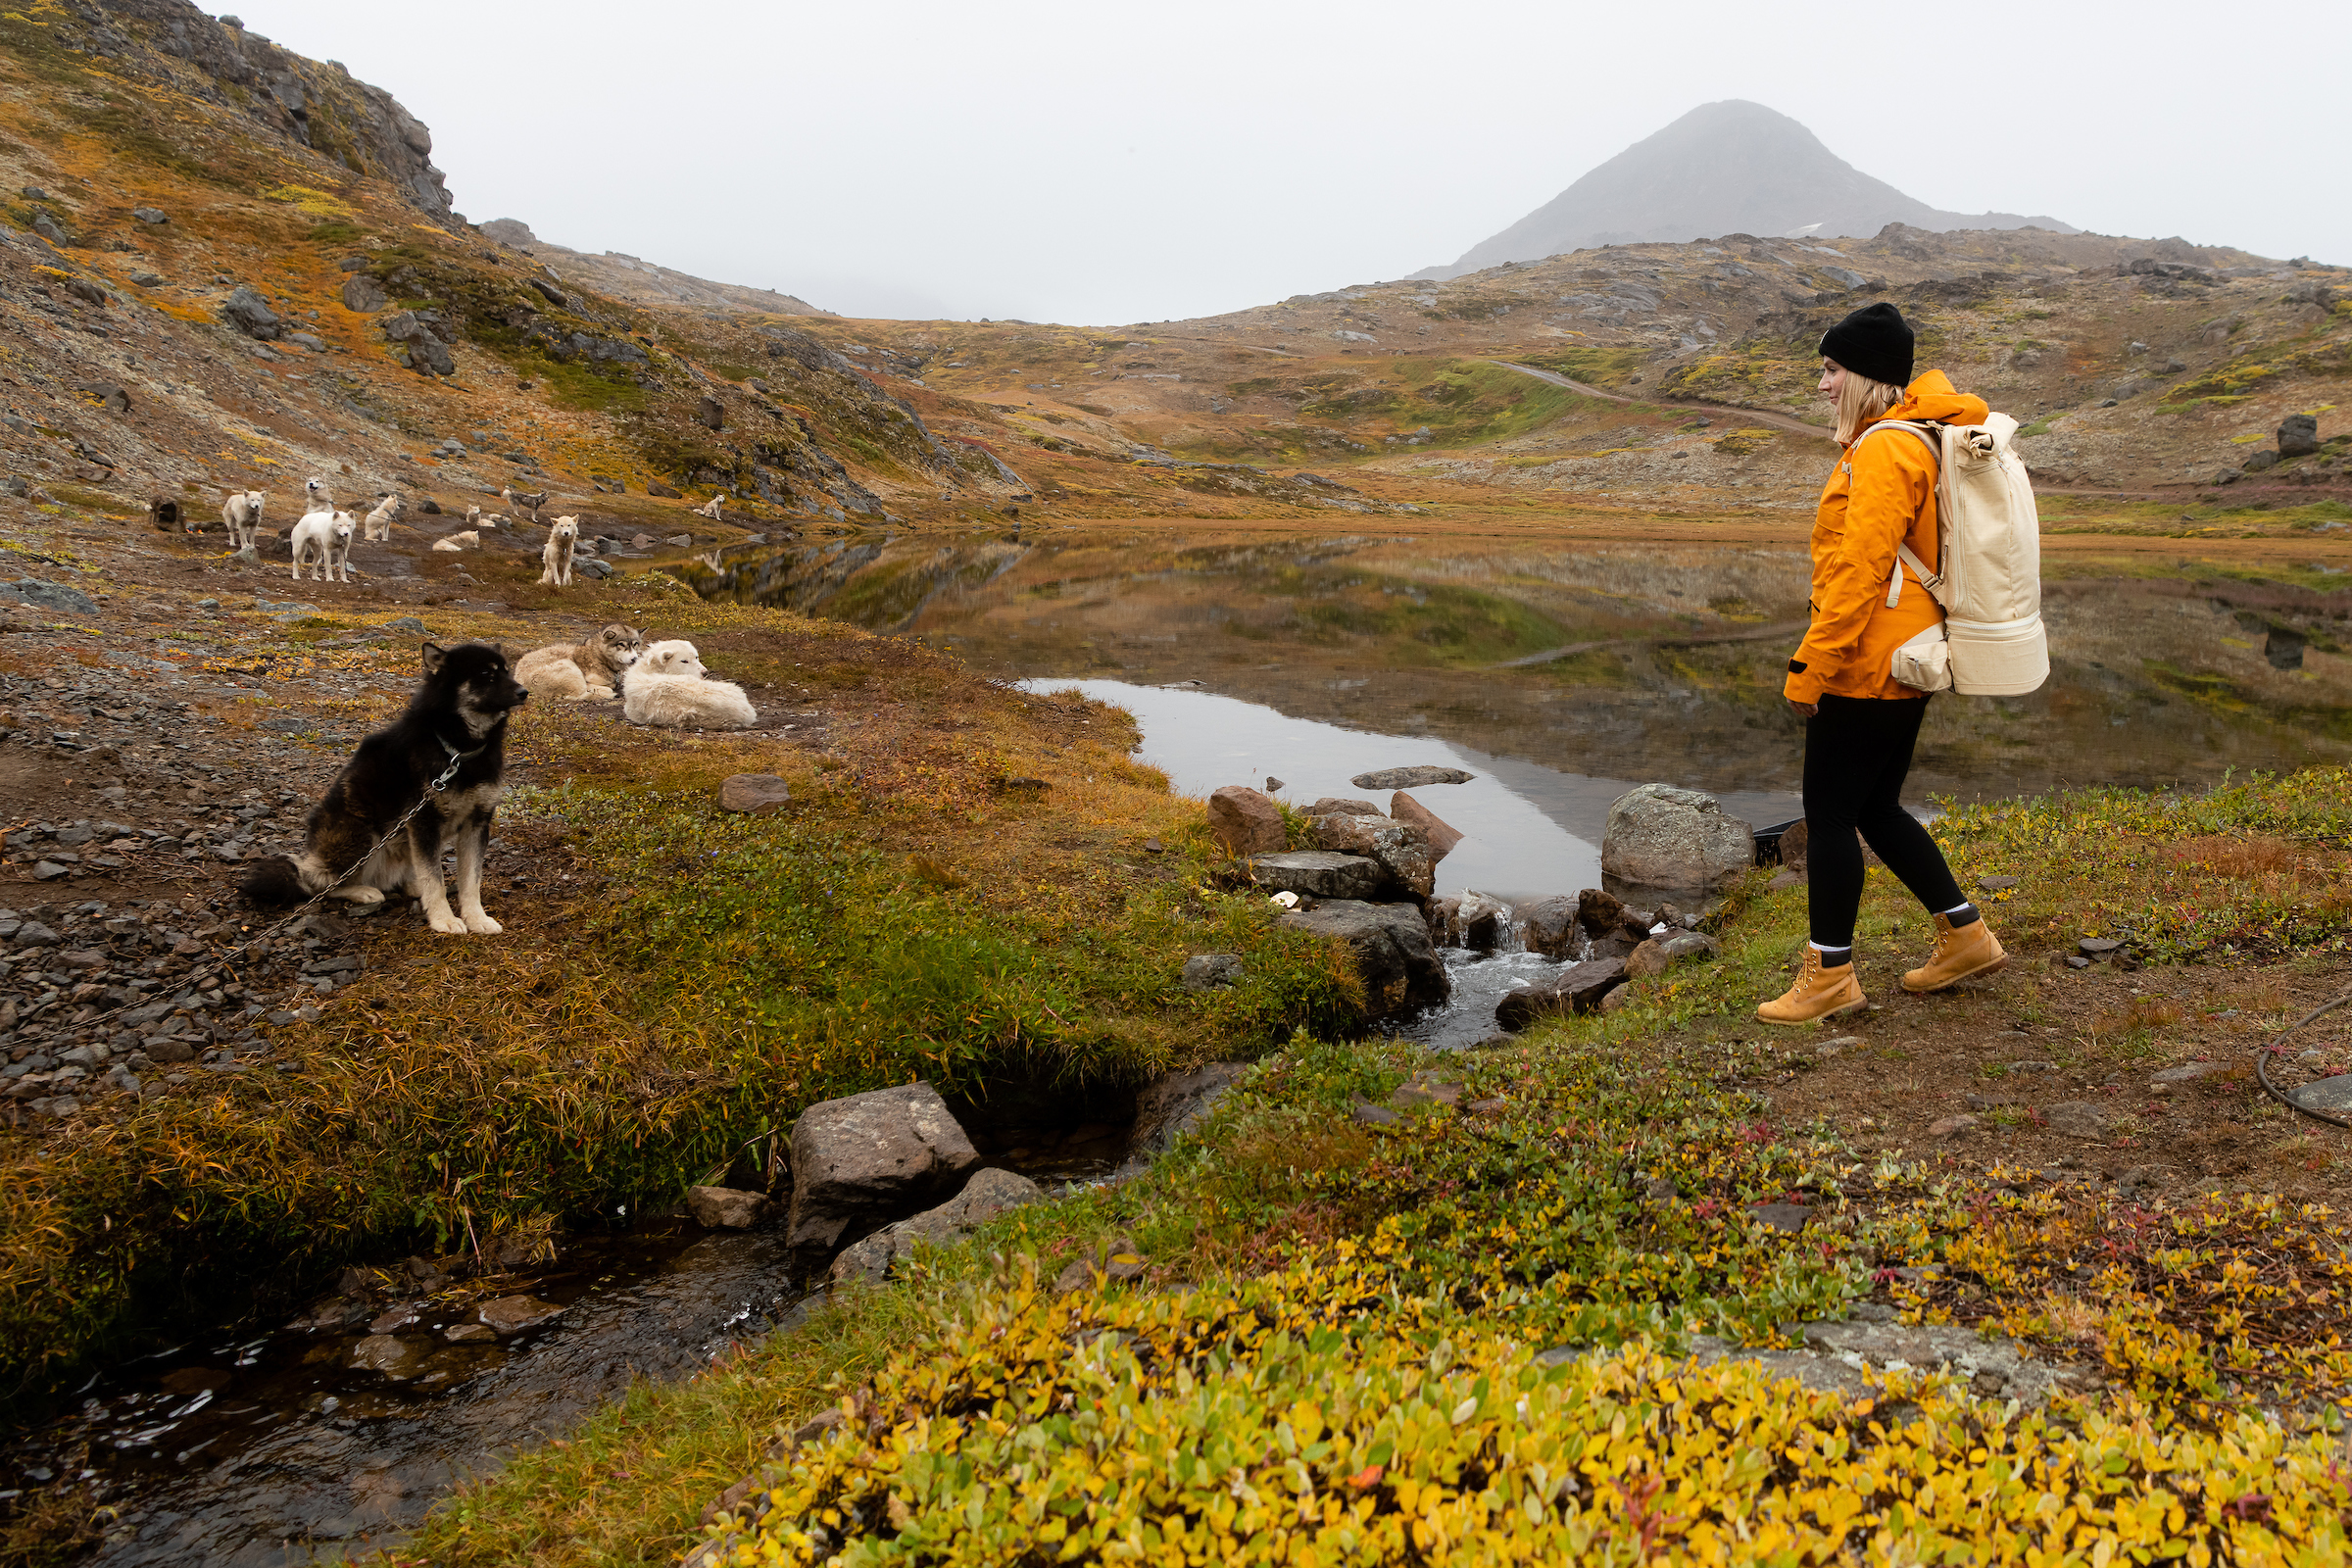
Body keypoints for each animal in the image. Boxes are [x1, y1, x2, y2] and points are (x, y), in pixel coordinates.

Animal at [243, 639, 529, 930]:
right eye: (486, 675)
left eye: (507, 671)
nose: (524, 691)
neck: (457, 750)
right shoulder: (424, 821)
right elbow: (434, 881)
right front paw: (444, 919)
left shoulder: (477, 822)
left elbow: (471, 882)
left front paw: (477, 918)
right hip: (362, 834)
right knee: (321, 884)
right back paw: (362, 891)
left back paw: (411, 886)